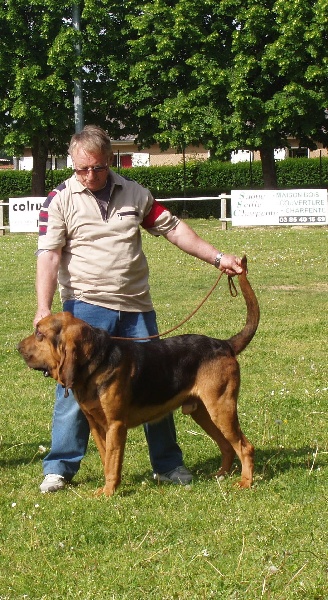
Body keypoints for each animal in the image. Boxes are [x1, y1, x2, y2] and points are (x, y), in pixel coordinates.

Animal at [17, 258, 258, 496]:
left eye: (39, 333)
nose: (17, 347)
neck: (96, 362)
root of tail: (224, 344)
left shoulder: (115, 425)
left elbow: (112, 461)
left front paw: (108, 492)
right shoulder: (96, 425)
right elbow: (106, 459)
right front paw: (109, 487)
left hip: (221, 409)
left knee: (245, 446)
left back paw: (245, 482)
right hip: (203, 413)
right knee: (227, 446)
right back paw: (220, 475)